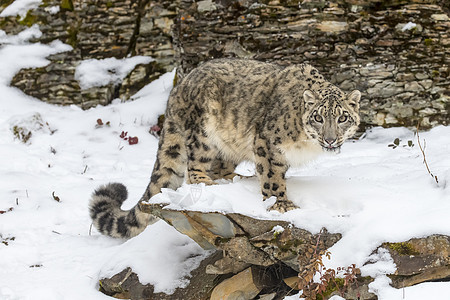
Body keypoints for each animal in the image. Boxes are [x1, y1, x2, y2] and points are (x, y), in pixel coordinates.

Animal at [89, 58, 360, 238]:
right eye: (318, 117)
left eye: (342, 118)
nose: (330, 139)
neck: (306, 142)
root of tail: (178, 88)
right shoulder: (267, 143)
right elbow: (272, 177)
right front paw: (281, 204)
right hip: (203, 133)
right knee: (194, 166)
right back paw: (206, 182)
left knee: (219, 166)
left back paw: (236, 178)